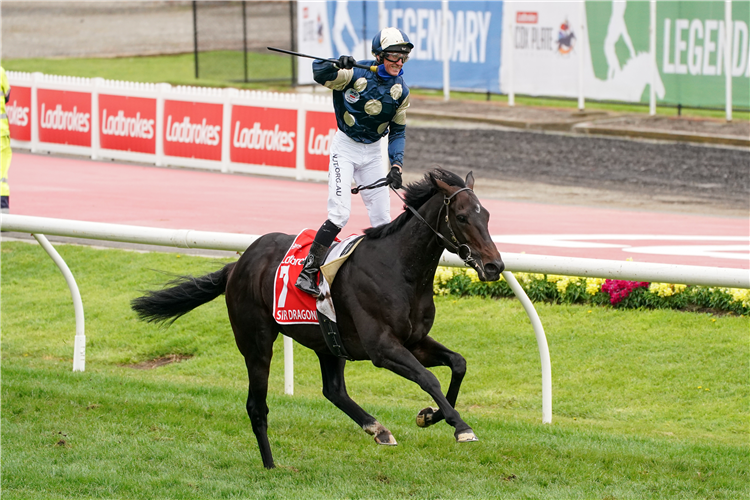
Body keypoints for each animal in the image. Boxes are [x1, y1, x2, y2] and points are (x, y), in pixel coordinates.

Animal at [132, 168, 506, 468]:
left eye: (487, 215)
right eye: (461, 217)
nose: (494, 266)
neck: (401, 269)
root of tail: (237, 264)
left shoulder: (413, 340)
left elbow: (458, 363)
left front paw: (430, 416)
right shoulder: (382, 348)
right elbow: (428, 378)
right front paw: (460, 426)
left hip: (329, 340)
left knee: (334, 390)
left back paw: (378, 429)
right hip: (256, 342)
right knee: (257, 405)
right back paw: (270, 464)